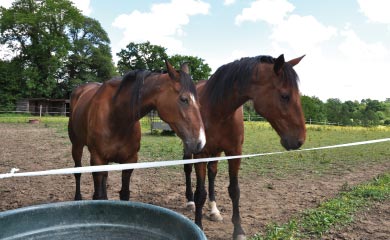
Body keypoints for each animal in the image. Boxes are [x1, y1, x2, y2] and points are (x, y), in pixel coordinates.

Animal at [68, 60, 206, 201]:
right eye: (184, 99)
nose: (200, 142)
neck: (116, 116)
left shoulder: (129, 161)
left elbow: (124, 194)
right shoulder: (97, 160)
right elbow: (98, 196)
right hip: (77, 146)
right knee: (77, 171)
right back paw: (78, 197)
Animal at [182, 54, 304, 240]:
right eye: (285, 96)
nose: (300, 140)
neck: (218, 111)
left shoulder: (234, 152)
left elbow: (234, 190)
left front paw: (238, 230)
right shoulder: (201, 153)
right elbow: (200, 193)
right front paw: (198, 226)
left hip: (216, 152)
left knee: (212, 172)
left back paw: (214, 209)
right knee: (187, 169)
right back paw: (190, 201)